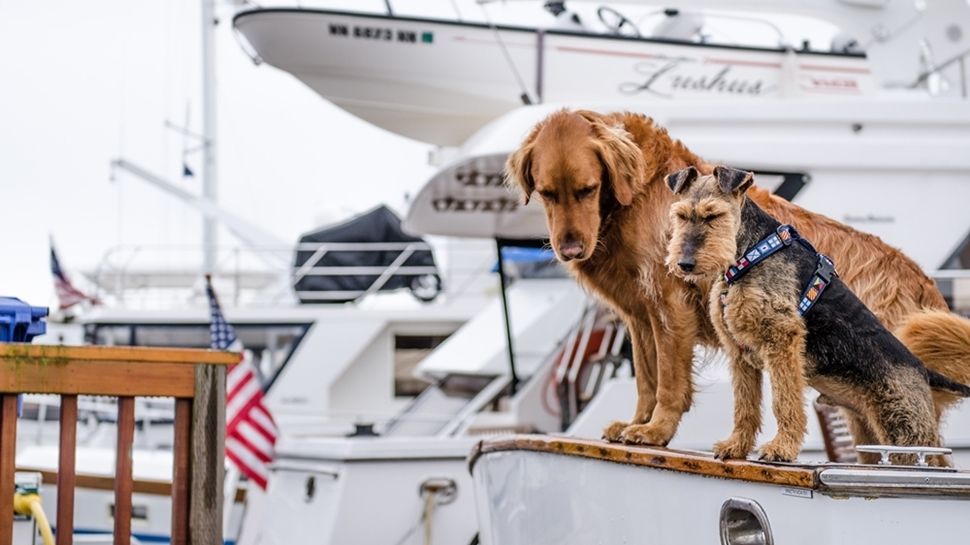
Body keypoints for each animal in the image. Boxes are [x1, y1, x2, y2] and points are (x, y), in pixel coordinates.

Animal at [502, 108, 968, 448]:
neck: (637, 193)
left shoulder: (670, 305)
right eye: (546, 193)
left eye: (587, 189)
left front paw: (656, 430)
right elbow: (646, 379)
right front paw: (637, 423)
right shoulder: (639, 313)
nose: (570, 250)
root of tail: (927, 286)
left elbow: (668, 382)